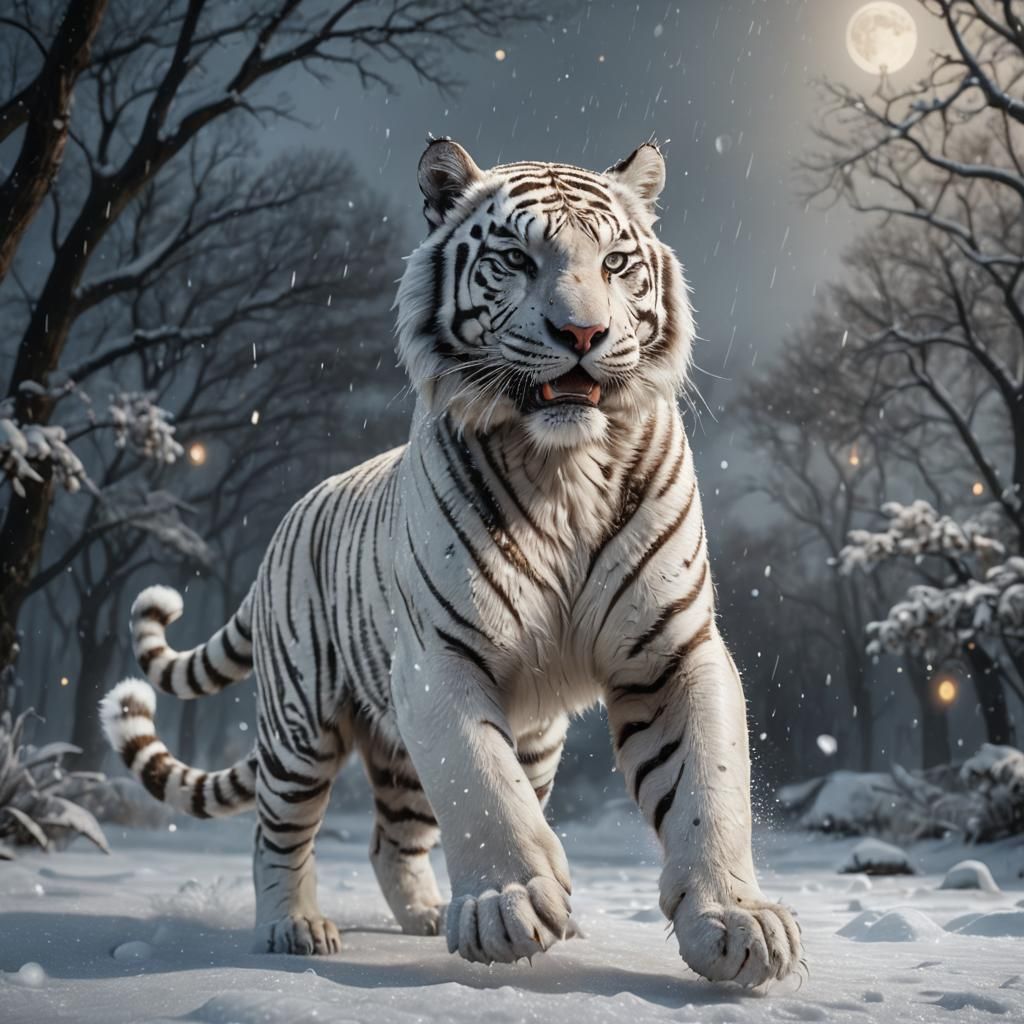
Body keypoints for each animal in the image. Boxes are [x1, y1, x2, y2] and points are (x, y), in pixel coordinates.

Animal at [100, 139, 803, 986]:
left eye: (615, 262)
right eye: (516, 259)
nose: (583, 334)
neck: (565, 468)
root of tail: (290, 518)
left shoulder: (672, 649)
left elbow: (706, 787)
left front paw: (735, 922)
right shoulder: (440, 659)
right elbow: (483, 785)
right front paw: (510, 907)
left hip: (459, 749)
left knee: (392, 838)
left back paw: (430, 915)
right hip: (302, 724)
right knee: (279, 831)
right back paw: (293, 928)